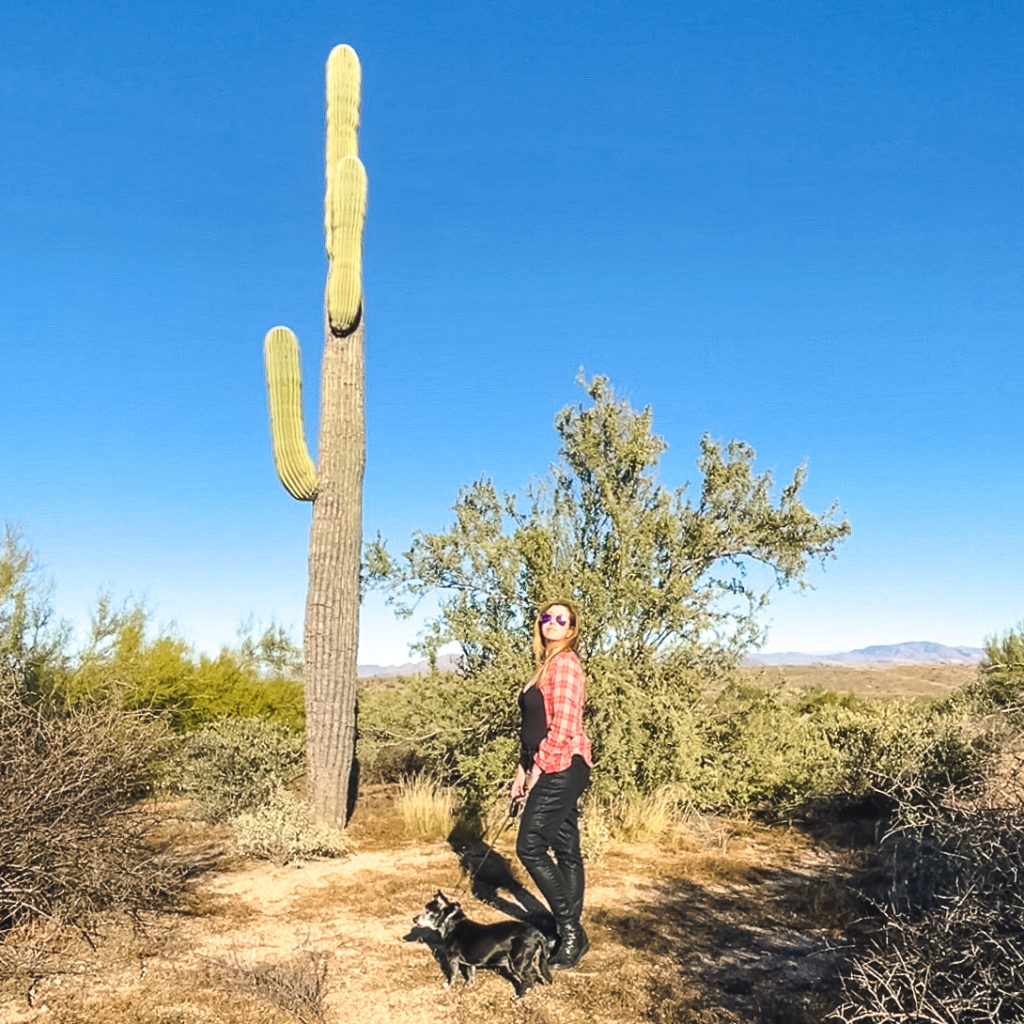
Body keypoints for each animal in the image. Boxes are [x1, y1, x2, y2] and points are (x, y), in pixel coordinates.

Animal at [411, 892, 552, 995]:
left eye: (428, 912)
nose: (414, 919)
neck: (452, 925)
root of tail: (537, 934)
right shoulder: (470, 963)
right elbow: (471, 976)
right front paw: (469, 986)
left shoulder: (453, 959)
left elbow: (453, 975)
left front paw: (448, 987)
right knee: (536, 975)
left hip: (518, 963)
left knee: (531, 978)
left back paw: (519, 996)